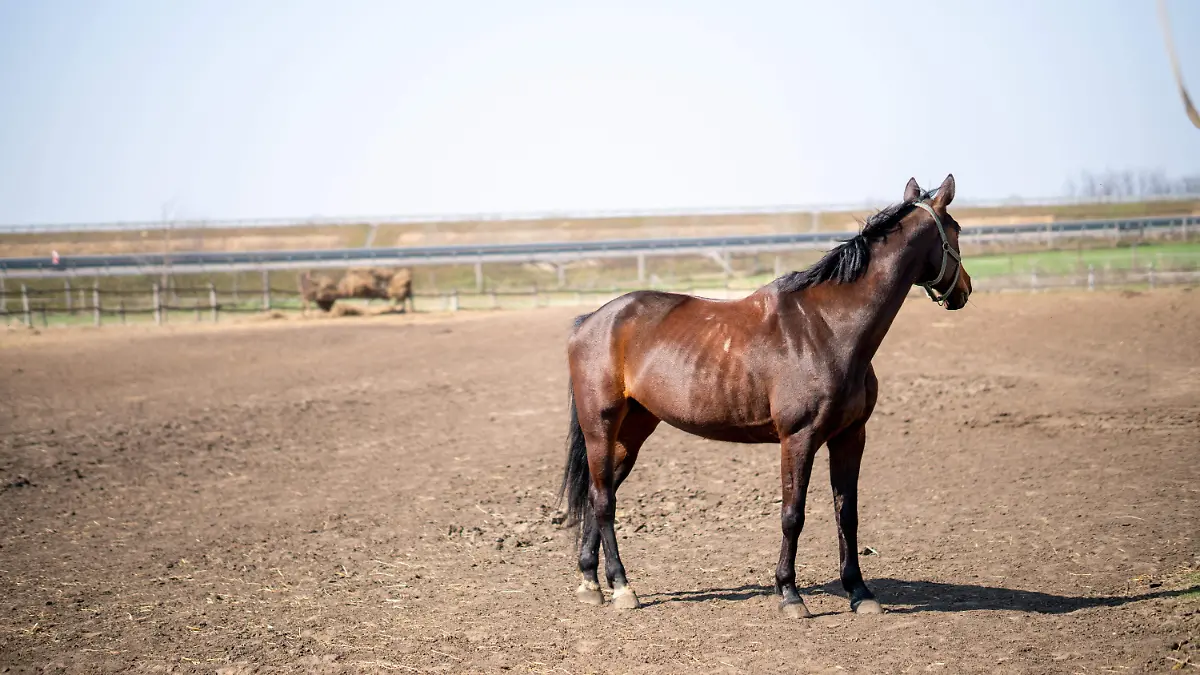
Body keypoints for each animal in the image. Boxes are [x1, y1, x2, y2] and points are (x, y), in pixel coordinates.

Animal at [556, 174, 972, 618]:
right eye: (957, 230)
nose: (965, 289)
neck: (830, 328)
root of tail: (590, 321)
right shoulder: (799, 438)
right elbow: (793, 514)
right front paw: (790, 594)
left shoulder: (850, 436)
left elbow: (847, 514)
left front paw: (860, 593)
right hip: (600, 426)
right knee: (603, 500)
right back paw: (621, 587)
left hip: (632, 429)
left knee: (599, 494)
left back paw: (591, 582)